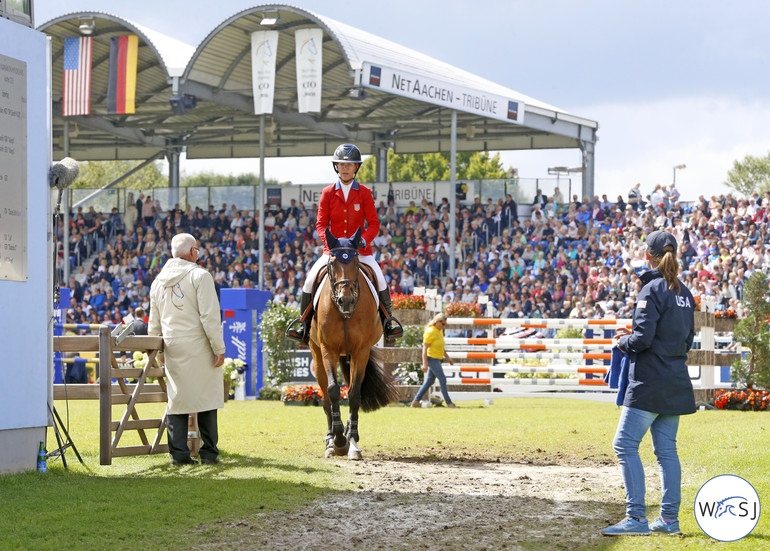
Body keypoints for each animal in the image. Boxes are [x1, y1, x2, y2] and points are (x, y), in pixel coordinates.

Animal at [306, 226, 396, 460]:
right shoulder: (328, 349)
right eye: (331, 263)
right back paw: (330, 440)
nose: (345, 300)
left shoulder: (360, 351)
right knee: (325, 398)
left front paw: (352, 441)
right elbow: (333, 391)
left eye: (355, 262)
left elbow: (354, 394)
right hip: (316, 353)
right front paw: (338, 441)